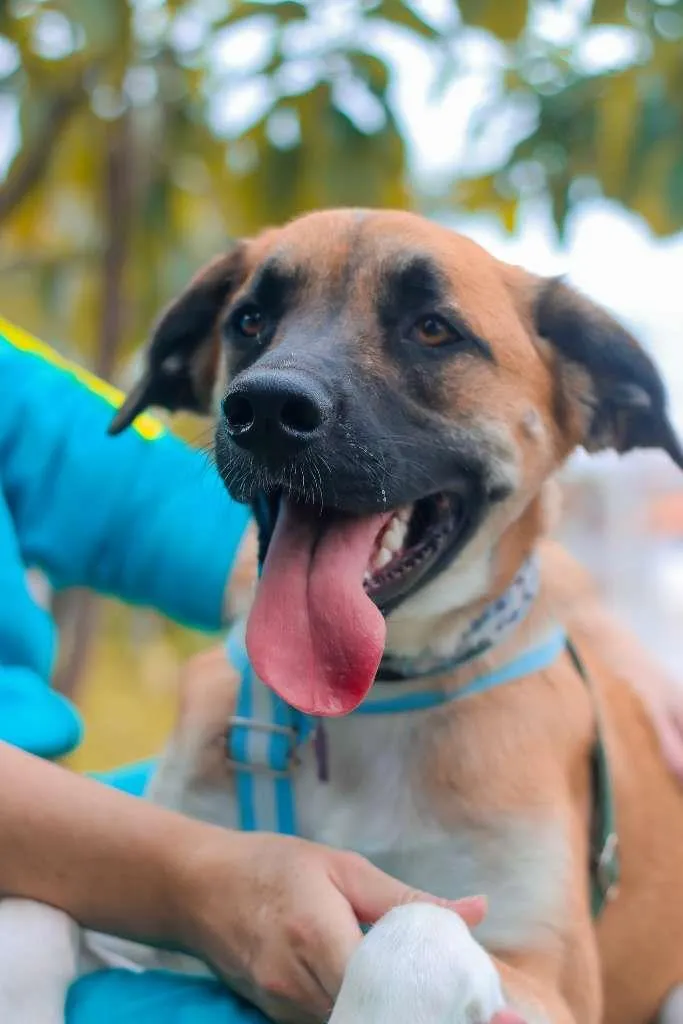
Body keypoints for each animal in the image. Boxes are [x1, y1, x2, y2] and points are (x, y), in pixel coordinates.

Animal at [3, 209, 683, 1024]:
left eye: (432, 329)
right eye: (250, 320)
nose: (265, 411)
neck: (367, 709)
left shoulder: (552, 982)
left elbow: (414, 924)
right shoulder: (174, 909)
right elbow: (38, 913)